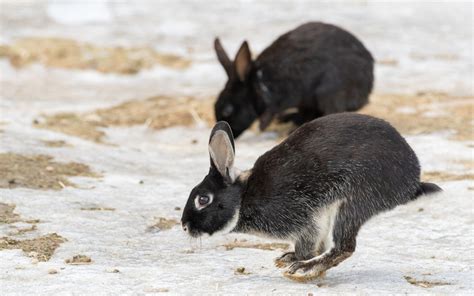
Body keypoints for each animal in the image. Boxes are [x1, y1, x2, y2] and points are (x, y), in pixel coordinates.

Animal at [181, 113, 440, 282]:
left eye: (203, 200)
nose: (184, 225)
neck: (244, 198)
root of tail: (411, 182)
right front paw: (287, 258)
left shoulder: (304, 218)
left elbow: (308, 243)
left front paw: (298, 263)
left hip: (354, 200)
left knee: (345, 247)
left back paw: (304, 269)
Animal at [214, 22, 374, 138]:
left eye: (227, 110)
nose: (227, 132)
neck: (260, 82)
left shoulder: (280, 97)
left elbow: (269, 113)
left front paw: (263, 126)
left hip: (327, 93)